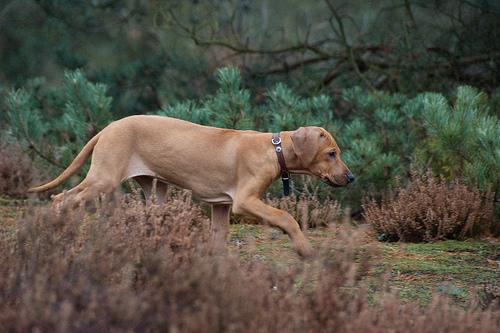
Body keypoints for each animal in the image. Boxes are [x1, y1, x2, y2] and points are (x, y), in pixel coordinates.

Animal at [28, 115, 356, 256]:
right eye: (331, 153)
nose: (351, 178)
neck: (273, 148)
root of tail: (108, 128)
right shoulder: (245, 201)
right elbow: (285, 217)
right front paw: (303, 247)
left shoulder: (223, 206)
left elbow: (219, 237)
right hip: (104, 179)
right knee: (62, 198)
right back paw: (55, 232)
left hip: (153, 190)